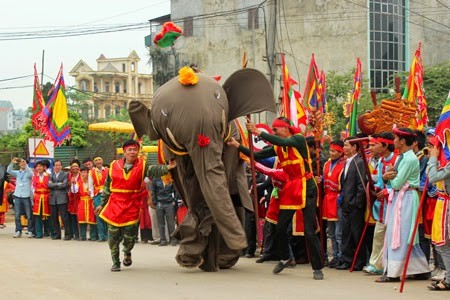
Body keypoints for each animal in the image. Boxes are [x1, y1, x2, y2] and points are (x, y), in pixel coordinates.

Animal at [126, 68, 274, 272]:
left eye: (217, 96)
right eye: (165, 114)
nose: (242, 242)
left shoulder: (231, 137)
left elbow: (222, 181)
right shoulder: (174, 151)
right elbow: (192, 183)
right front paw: (189, 256)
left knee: (235, 195)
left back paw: (220, 261)